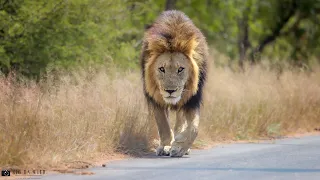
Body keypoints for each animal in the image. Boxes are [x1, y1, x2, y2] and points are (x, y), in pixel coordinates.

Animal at [140, 9, 208, 157]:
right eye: (162, 69)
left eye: (180, 69)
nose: (170, 91)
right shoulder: (155, 98)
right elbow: (163, 125)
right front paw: (166, 146)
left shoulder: (192, 100)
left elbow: (194, 128)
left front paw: (179, 146)